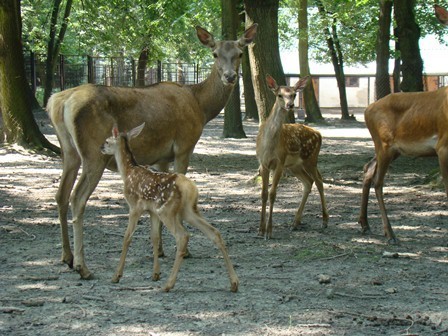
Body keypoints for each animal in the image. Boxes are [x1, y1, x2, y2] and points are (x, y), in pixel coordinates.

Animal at [98, 123, 238, 292]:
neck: (128, 173)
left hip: (167, 210)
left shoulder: (134, 206)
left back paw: (169, 284)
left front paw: (116, 276)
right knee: (214, 232)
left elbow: (127, 237)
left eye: (107, 140)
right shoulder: (152, 211)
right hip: (188, 210)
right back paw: (234, 283)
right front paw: (155, 274)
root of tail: (189, 187)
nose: (100, 147)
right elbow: (154, 237)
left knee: (182, 236)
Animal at [356, 3, 448, 243]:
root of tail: (367, 109)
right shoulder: (442, 146)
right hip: (384, 143)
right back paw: (390, 233)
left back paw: (365, 224)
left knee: (368, 168)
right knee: (378, 181)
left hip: (392, 148)